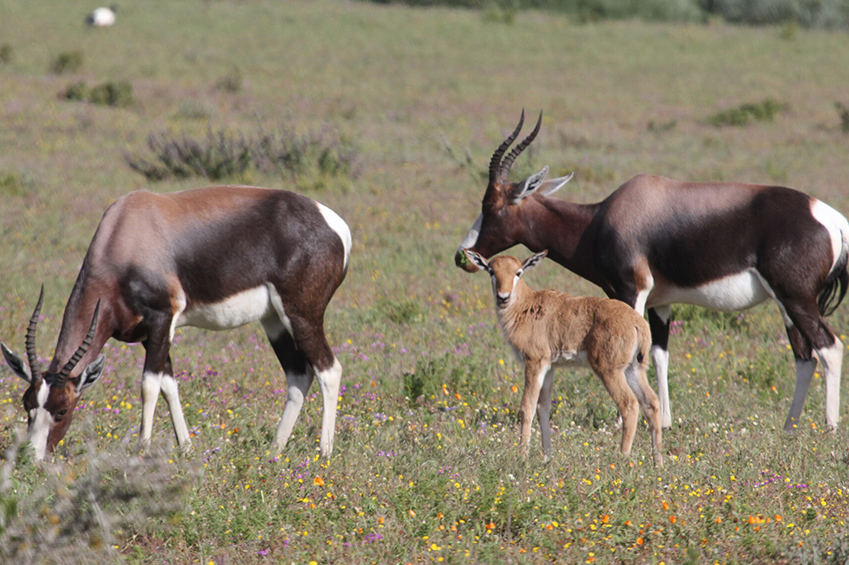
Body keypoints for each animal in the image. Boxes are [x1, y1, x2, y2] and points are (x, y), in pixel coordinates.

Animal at [2, 185, 352, 458]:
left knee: (328, 369)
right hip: (274, 321)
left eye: (61, 410)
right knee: (298, 375)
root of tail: (336, 225)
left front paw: (142, 449)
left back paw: (324, 452)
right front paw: (186, 447)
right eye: (27, 404)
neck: (128, 228)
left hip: (301, 315)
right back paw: (274, 450)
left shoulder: (162, 321)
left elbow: (148, 385)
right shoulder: (149, 335)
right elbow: (170, 385)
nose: (32, 457)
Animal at [458, 112, 848, 434]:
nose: (463, 255)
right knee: (804, 356)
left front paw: (620, 422)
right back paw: (789, 429)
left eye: (490, 204)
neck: (603, 218)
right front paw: (665, 420)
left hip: (795, 298)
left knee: (829, 347)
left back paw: (828, 429)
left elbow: (629, 355)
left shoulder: (631, 290)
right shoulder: (660, 302)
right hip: (786, 305)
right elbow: (658, 354)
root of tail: (832, 220)